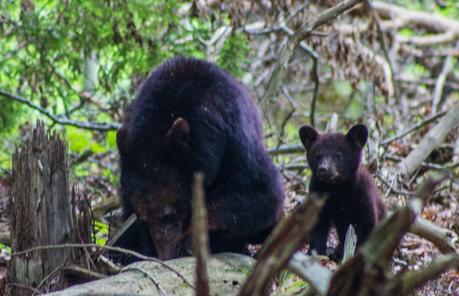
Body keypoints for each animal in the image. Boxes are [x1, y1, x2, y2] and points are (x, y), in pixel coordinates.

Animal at [116, 56, 284, 260]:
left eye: (168, 215)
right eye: (144, 219)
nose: (166, 255)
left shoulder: (234, 139)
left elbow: (261, 192)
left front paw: (190, 241)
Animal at [300, 123, 386, 258]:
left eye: (338, 155)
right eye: (318, 155)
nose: (323, 169)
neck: (337, 189)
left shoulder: (362, 194)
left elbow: (366, 224)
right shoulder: (318, 193)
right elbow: (317, 223)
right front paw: (315, 253)